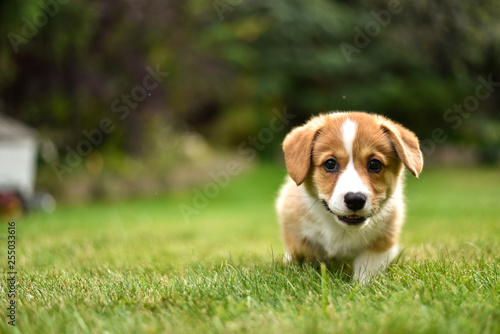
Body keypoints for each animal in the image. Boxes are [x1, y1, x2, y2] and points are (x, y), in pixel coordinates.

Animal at [276, 112, 424, 282]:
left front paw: (361, 284)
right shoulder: (297, 231)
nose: (355, 200)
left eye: (375, 164)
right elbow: (305, 254)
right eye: (330, 164)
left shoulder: (382, 242)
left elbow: (367, 265)